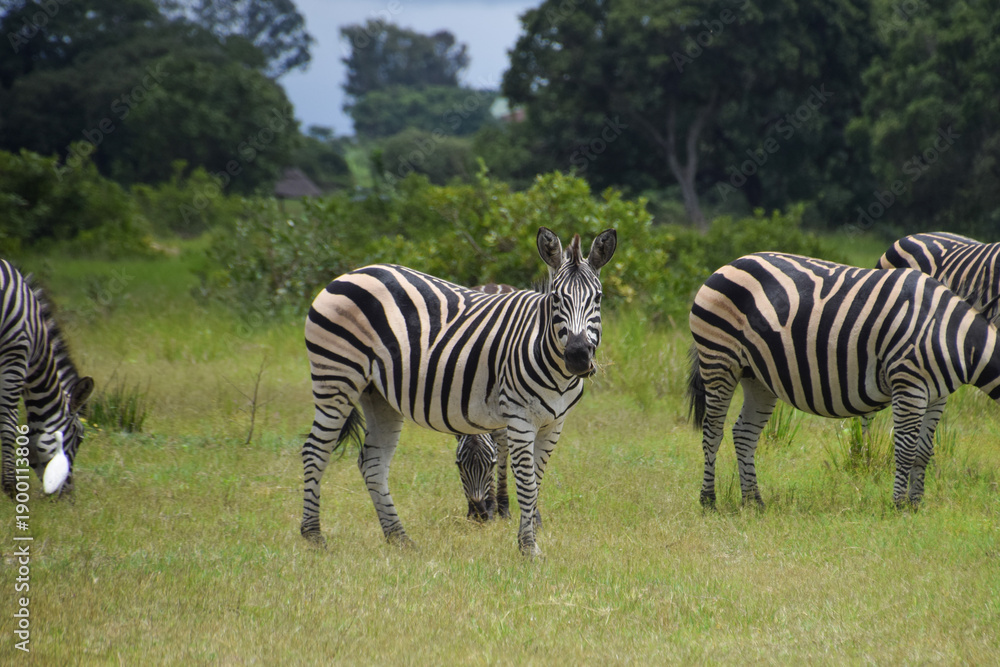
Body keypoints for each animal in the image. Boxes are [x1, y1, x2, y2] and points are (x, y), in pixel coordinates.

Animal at [301, 227, 617, 557]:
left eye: (598, 298)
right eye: (556, 298)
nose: (578, 356)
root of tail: (354, 273)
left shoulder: (554, 422)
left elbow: (536, 480)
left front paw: (529, 533)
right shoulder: (519, 418)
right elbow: (527, 483)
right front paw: (528, 548)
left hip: (378, 394)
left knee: (372, 463)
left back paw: (399, 538)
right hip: (336, 377)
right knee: (315, 451)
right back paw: (314, 536)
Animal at [688, 252, 1000, 509]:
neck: (954, 335)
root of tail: (729, 264)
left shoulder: (937, 395)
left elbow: (923, 450)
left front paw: (916, 503)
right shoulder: (908, 383)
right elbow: (905, 447)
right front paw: (899, 505)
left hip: (757, 377)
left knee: (744, 434)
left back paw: (754, 501)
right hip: (719, 359)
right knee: (712, 432)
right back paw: (708, 501)